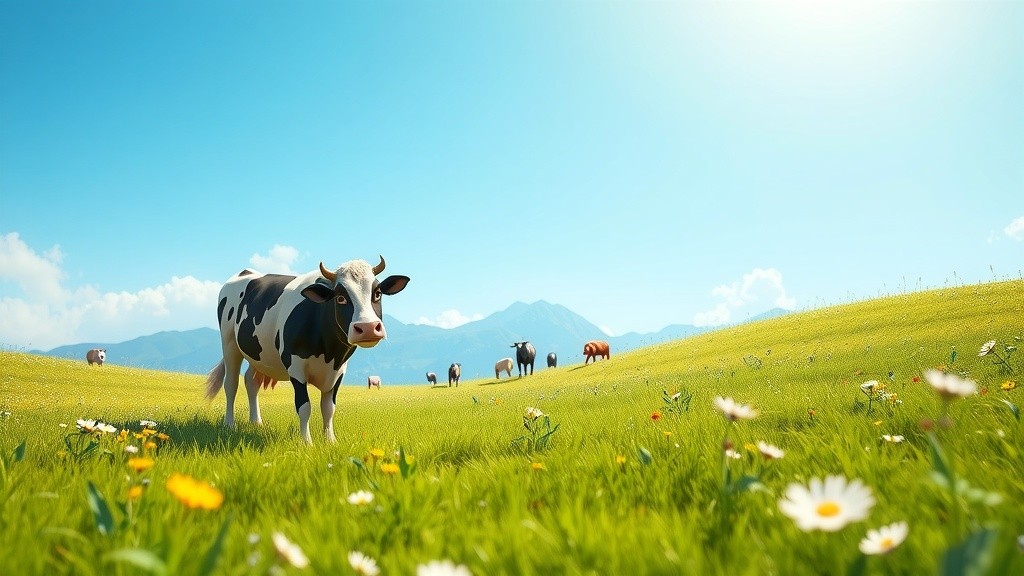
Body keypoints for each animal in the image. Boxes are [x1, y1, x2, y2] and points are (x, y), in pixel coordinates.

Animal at [203, 256, 409, 444]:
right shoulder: (295, 366)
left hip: (258, 354)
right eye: (340, 298)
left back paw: (256, 422)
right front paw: (307, 442)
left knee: (251, 382)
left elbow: (328, 408)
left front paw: (330, 441)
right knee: (231, 384)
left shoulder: (339, 370)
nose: (368, 327)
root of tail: (246, 272)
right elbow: (304, 407)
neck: (329, 352)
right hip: (229, 343)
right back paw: (229, 424)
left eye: (378, 293)